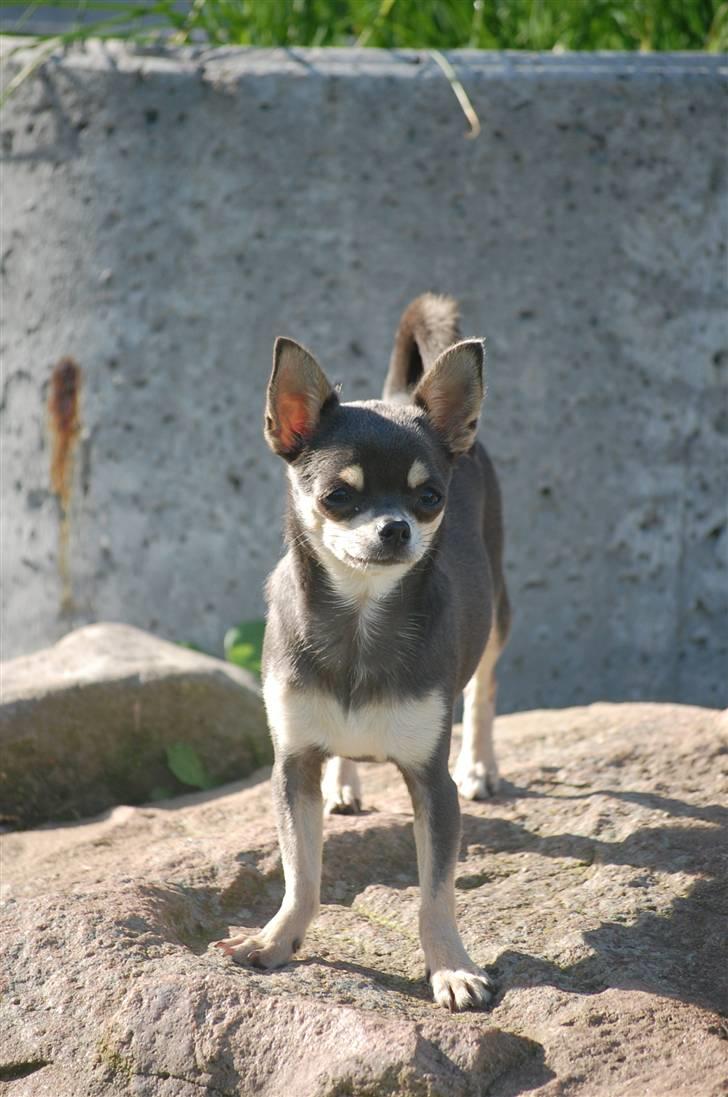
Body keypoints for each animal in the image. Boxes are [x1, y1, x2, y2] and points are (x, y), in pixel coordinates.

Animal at [217, 293, 510, 1009]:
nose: (395, 527)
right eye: (338, 497)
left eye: (430, 497)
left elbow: (436, 893)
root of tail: (400, 393)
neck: (358, 621)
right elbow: (302, 871)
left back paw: (482, 763)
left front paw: (450, 967)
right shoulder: (292, 766)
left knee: (484, 689)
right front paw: (277, 940)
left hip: (498, 612)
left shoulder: (432, 784)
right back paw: (345, 786)